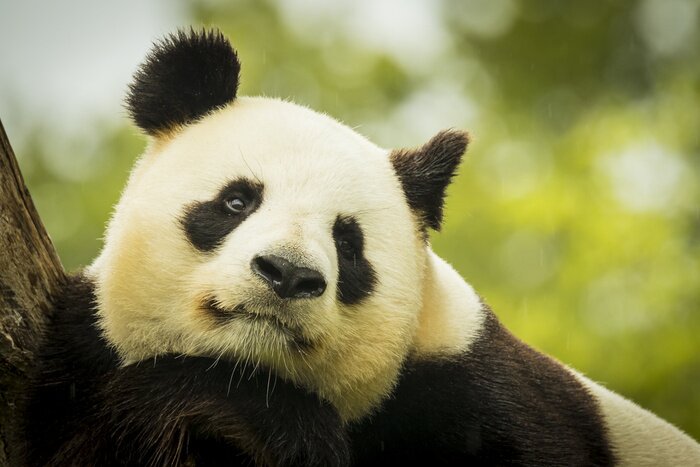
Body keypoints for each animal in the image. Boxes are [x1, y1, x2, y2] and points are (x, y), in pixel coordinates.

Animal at [22, 28, 700, 466]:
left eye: (348, 244)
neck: (248, 365)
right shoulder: (76, 359)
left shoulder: (483, 403)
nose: (287, 274)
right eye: (238, 202)